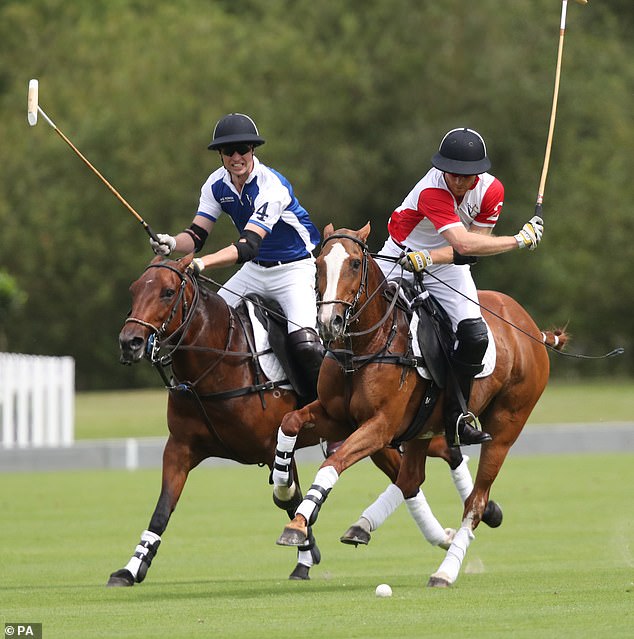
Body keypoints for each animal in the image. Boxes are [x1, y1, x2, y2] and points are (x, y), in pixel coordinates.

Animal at [106, 252, 456, 588]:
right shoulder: (179, 448)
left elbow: (289, 494)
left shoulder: (271, 446)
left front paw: (305, 552)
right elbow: (162, 510)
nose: (130, 342)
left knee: (430, 461)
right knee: (409, 479)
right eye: (134, 290)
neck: (219, 363)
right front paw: (130, 569)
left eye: (167, 292)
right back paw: (442, 536)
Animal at [274, 225, 564, 592]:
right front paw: (284, 490)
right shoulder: (337, 417)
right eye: (318, 264)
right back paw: (363, 525)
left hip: (506, 425)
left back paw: (445, 571)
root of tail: (532, 329)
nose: (330, 322)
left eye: (354, 263)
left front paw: (297, 524)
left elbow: (331, 464)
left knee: (476, 501)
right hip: (423, 427)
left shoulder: (380, 425)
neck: (366, 345)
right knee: (412, 477)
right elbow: (289, 421)